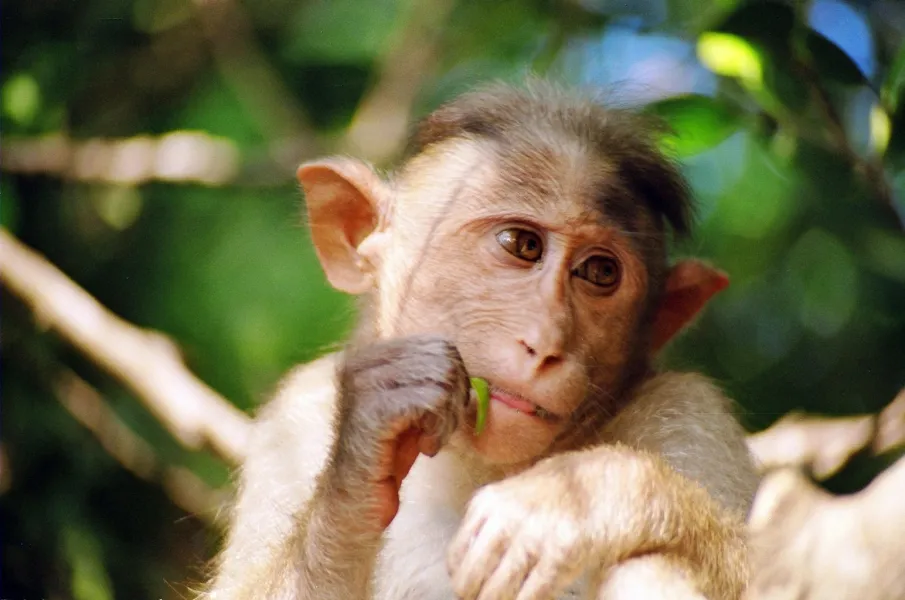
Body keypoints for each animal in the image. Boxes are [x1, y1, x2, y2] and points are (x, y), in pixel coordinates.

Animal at [200, 82, 759, 600]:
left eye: (600, 272)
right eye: (522, 245)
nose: (544, 342)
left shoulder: (689, 408)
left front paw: (570, 499)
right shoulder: (294, 419)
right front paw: (369, 435)